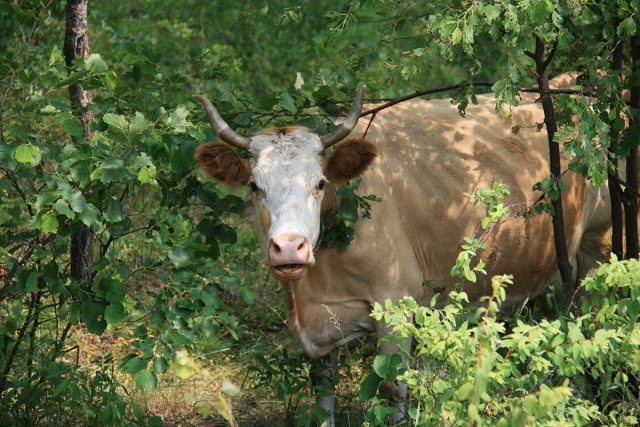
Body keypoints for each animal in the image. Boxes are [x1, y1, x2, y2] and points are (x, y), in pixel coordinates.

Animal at [194, 86, 608, 424]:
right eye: (254, 186)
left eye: (320, 183)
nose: (289, 247)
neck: (313, 289)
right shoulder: (321, 327)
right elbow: (322, 397)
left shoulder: (394, 306)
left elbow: (393, 389)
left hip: (601, 246)